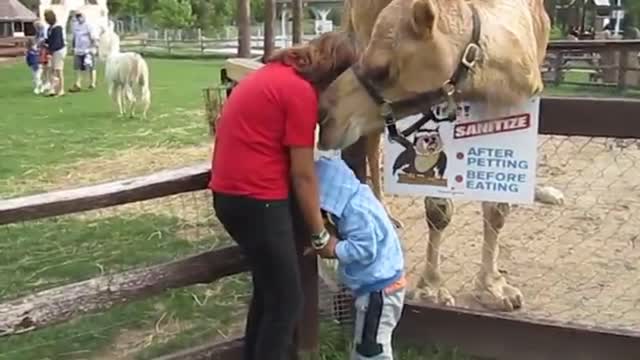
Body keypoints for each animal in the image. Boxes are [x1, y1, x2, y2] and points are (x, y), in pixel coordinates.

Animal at [318, 0, 564, 310]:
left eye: (383, 70)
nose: (325, 112)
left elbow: (497, 207)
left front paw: (494, 289)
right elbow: (438, 208)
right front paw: (432, 289)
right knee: (370, 145)